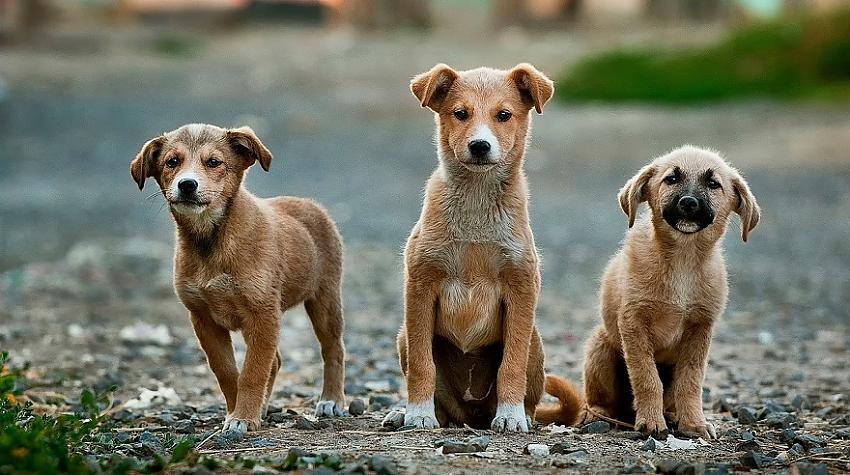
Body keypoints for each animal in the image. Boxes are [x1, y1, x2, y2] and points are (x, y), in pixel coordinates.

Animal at [130, 123, 348, 436]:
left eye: (214, 162)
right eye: (172, 162)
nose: (187, 185)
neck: (211, 240)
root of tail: (309, 204)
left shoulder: (263, 313)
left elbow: (252, 372)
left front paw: (243, 417)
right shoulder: (203, 318)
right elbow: (228, 372)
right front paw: (238, 412)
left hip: (325, 299)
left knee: (333, 349)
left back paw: (331, 400)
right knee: (275, 361)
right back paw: (265, 407)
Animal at [380, 64, 552, 436]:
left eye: (504, 115)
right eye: (461, 114)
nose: (480, 146)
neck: (476, 201)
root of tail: (471, 415)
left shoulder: (521, 287)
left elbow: (511, 365)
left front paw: (511, 415)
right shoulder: (420, 285)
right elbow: (422, 365)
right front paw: (417, 413)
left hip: (535, 341)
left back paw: (521, 415)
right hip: (403, 336)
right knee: (442, 402)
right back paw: (405, 413)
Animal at [536, 145, 756, 438]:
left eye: (713, 184)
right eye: (671, 179)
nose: (689, 202)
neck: (682, 261)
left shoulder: (700, 328)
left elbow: (691, 381)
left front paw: (693, 423)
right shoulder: (634, 322)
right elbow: (646, 377)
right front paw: (651, 422)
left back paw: (672, 415)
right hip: (600, 347)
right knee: (598, 401)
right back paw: (598, 415)